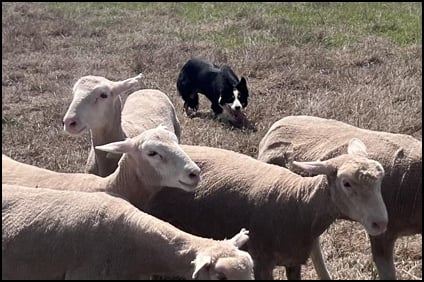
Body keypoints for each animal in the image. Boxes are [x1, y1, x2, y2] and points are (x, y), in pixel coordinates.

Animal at [147, 141, 390, 280]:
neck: (299, 203)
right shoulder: (261, 263)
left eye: (381, 180)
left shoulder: (294, 261)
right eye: (346, 183)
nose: (381, 223)